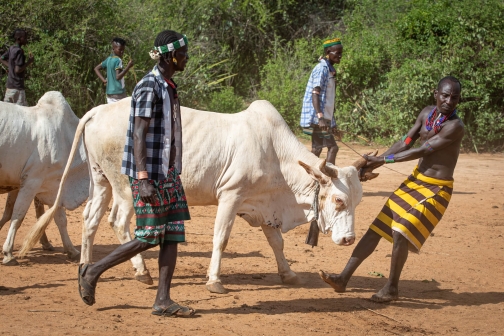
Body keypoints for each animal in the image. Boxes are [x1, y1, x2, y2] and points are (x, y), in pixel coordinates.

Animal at [0, 92, 88, 266]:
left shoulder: (55, 185)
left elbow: (60, 219)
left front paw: (72, 251)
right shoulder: (31, 181)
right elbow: (17, 215)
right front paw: (8, 253)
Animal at [20, 98, 366, 292]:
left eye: (358, 201)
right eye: (338, 200)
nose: (349, 239)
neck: (275, 152)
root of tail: (98, 111)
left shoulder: (262, 205)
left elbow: (276, 242)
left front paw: (289, 274)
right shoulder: (231, 195)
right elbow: (221, 239)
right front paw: (214, 281)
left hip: (100, 179)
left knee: (90, 219)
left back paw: (85, 267)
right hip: (124, 188)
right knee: (117, 222)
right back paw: (141, 271)